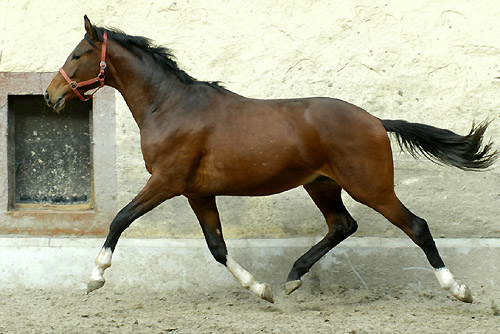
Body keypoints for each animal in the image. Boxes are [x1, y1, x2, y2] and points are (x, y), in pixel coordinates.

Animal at [46, 15, 496, 302]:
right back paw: (293, 277)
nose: (51, 95)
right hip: (322, 185)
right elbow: (217, 246)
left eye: (76, 55)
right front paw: (260, 288)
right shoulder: (196, 192)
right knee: (342, 225)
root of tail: (375, 121)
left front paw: (94, 278)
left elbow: (120, 218)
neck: (171, 106)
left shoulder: (165, 182)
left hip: (371, 187)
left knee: (416, 227)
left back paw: (458, 290)